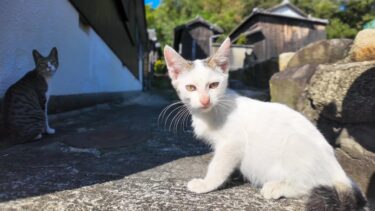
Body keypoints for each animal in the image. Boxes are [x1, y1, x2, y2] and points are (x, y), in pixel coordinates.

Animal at [164, 38, 368, 211]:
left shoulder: (233, 142)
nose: (205, 100)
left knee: (309, 184)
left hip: (295, 145)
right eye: (191, 88)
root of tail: (340, 172)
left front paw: (206, 184)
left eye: (213, 85)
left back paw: (277, 187)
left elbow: (219, 165)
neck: (212, 112)